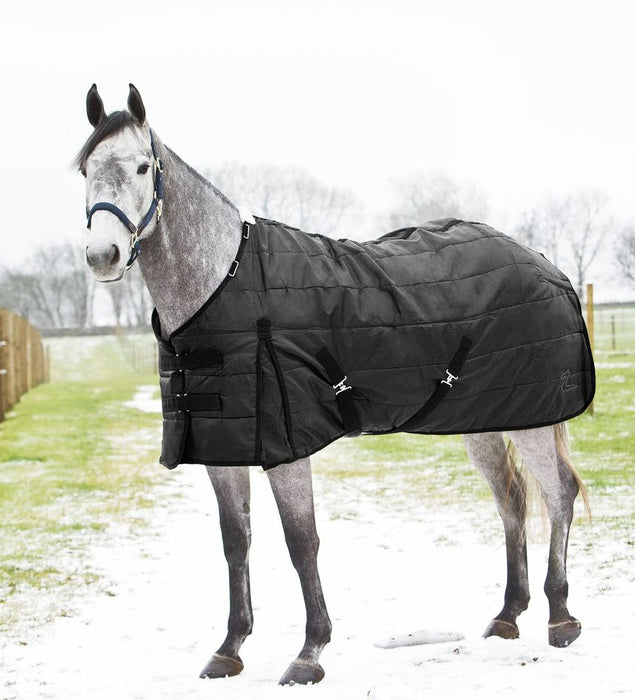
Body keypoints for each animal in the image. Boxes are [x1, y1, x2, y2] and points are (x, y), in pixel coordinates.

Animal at [77, 83, 590, 686]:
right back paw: (508, 615)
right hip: (485, 421)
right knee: (512, 499)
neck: (223, 285)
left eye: (141, 166)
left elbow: (302, 542)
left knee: (559, 493)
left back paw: (561, 619)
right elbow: (235, 541)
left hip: (533, 420)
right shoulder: (222, 449)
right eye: (86, 168)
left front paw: (309, 653)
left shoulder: (286, 447)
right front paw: (229, 648)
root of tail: (546, 265)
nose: (103, 256)